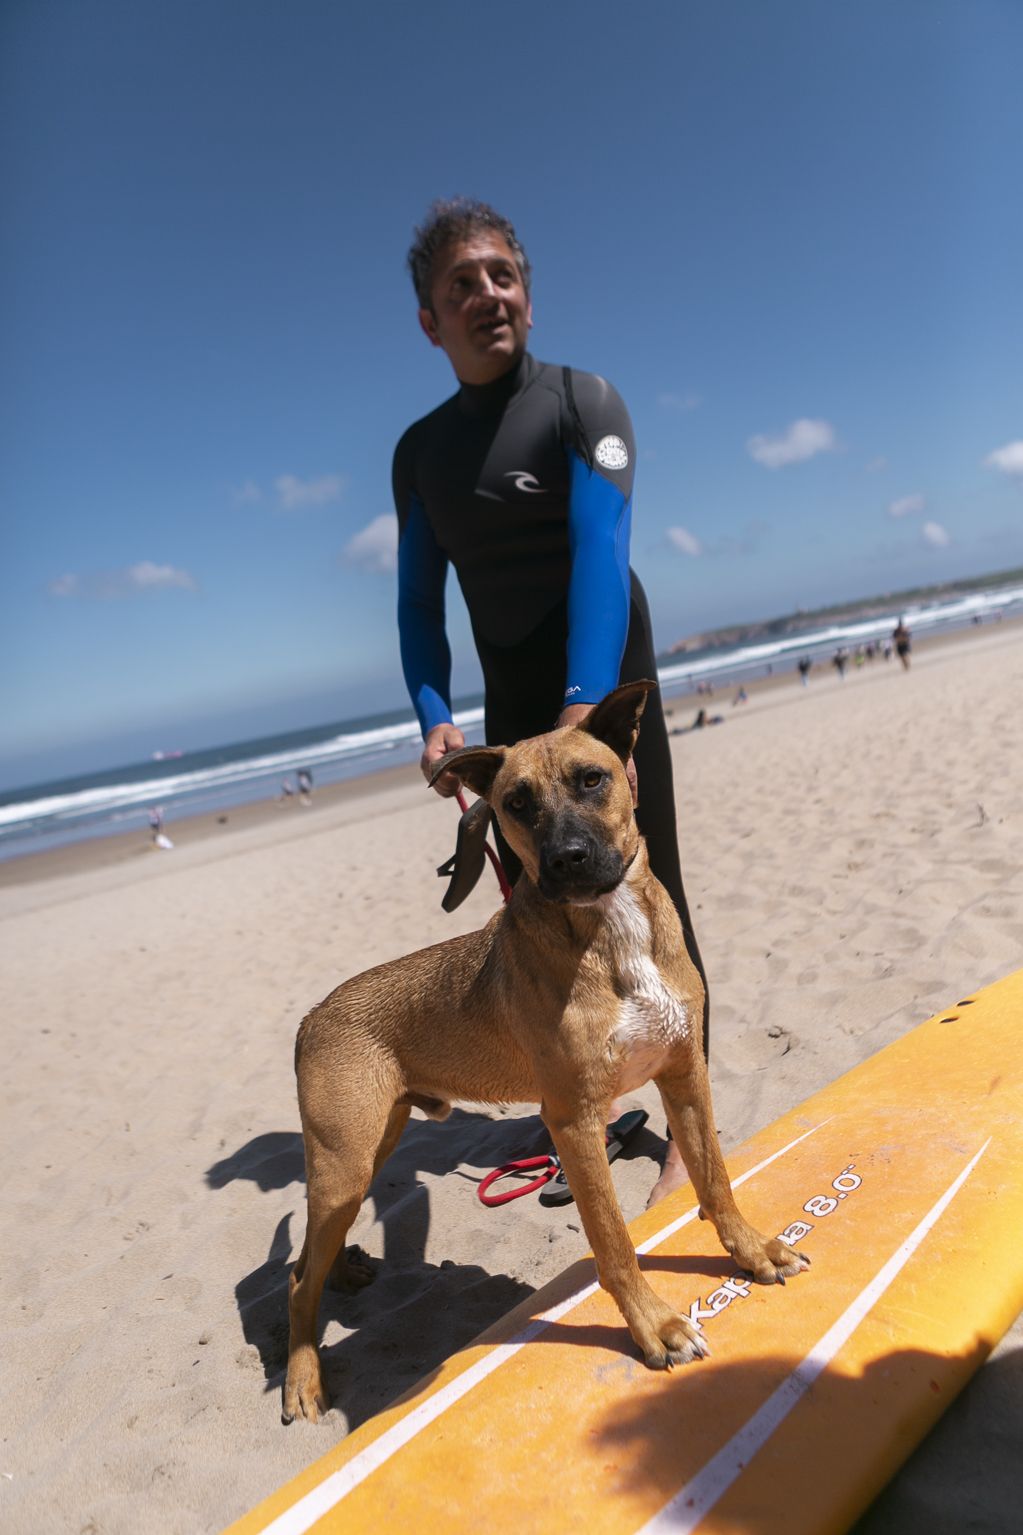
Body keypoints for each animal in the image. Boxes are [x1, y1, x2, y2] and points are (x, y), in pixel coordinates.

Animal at [281, 684, 804, 1424]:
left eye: (592, 779)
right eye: (517, 802)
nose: (568, 859)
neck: (609, 930)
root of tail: (311, 1017)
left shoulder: (684, 1074)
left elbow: (714, 1180)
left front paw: (751, 1250)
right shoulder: (574, 1120)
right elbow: (613, 1241)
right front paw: (653, 1324)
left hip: (372, 1148)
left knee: (310, 1261)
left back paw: (347, 1270)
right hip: (342, 1167)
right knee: (298, 1279)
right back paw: (302, 1377)